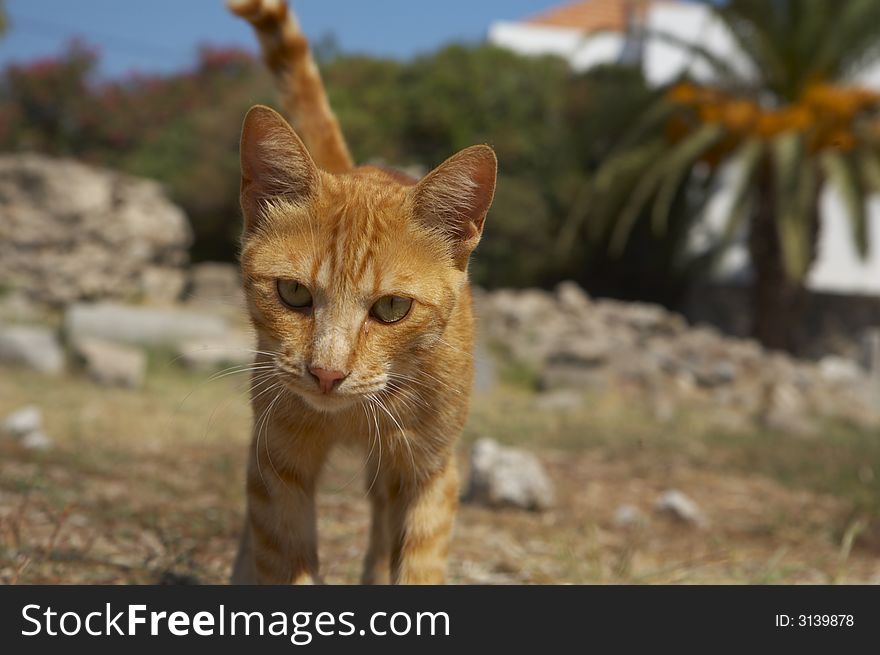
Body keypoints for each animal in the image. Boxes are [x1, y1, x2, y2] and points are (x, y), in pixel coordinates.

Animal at [227, 0, 496, 584]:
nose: (327, 374)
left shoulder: (429, 471)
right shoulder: (276, 464)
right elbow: (283, 556)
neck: (349, 417)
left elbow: (417, 561)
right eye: (293, 293)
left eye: (392, 307)